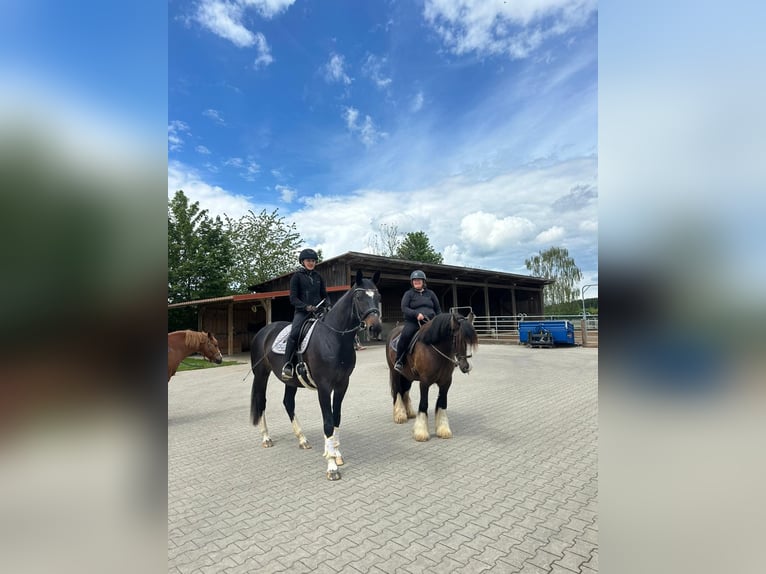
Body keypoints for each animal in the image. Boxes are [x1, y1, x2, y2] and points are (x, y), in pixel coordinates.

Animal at [249, 270, 382, 480]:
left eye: (378, 297)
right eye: (359, 298)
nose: (375, 328)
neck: (334, 338)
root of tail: (264, 331)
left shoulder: (342, 384)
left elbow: (336, 418)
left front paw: (336, 454)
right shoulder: (324, 387)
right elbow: (327, 422)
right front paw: (332, 466)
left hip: (291, 381)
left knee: (288, 403)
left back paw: (302, 439)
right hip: (261, 375)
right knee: (261, 402)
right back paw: (266, 438)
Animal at [385, 311, 478, 441]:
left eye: (471, 341)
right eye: (458, 339)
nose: (467, 366)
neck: (434, 349)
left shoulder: (446, 382)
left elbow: (442, 403)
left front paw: (443, 430)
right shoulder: (424, 382)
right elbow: (424, 404)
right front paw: (421, 432)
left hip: (407, 376)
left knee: (405, 391)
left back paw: (409, 413)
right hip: (395, 373)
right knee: (397, 391)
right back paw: (400, 415)